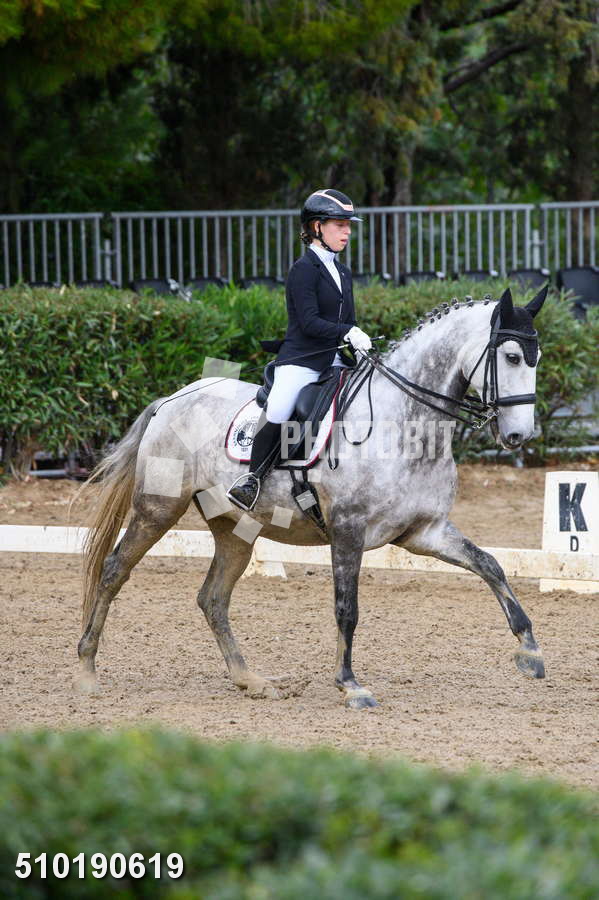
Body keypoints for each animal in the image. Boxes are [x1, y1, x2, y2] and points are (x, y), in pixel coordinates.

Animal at [78, 286, 547, 709]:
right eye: (511, 357)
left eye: (536, 359)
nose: (518, 436)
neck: (405, 426)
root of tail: (174, 398)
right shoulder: (348, 531)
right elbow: (347, 608)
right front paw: (350, 685)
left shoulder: (424, 533)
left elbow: (490, 565)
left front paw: (530, 651)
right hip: (157, 508)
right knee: (114, 571)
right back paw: (87, 670)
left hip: (234, 529)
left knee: (212, 598)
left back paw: (251, 680)